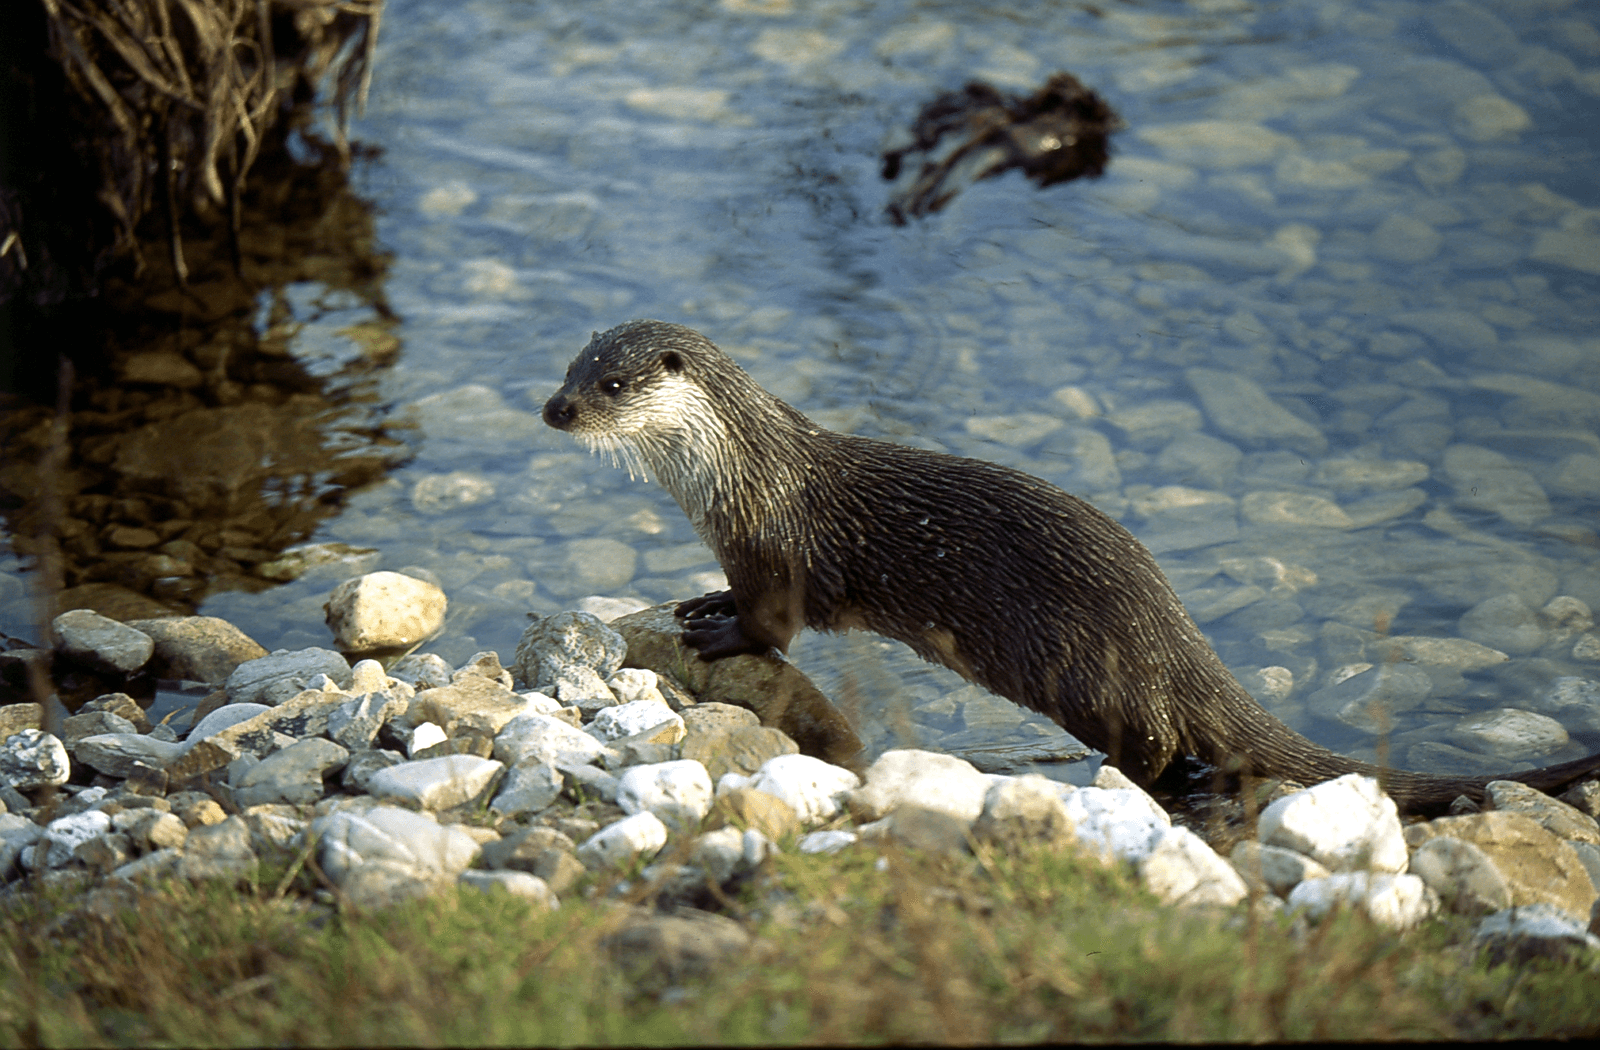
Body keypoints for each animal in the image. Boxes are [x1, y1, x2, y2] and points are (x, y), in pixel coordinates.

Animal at [543, 320, 1600, 812]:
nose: (555, 408)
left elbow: (771, 628)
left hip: (1090, 675)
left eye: (614, 384)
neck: (741, 473)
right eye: (568, 368)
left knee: (1164, 743)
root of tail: (1175, 632)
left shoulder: (778, 551)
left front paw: (715, 628)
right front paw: (699, 597)